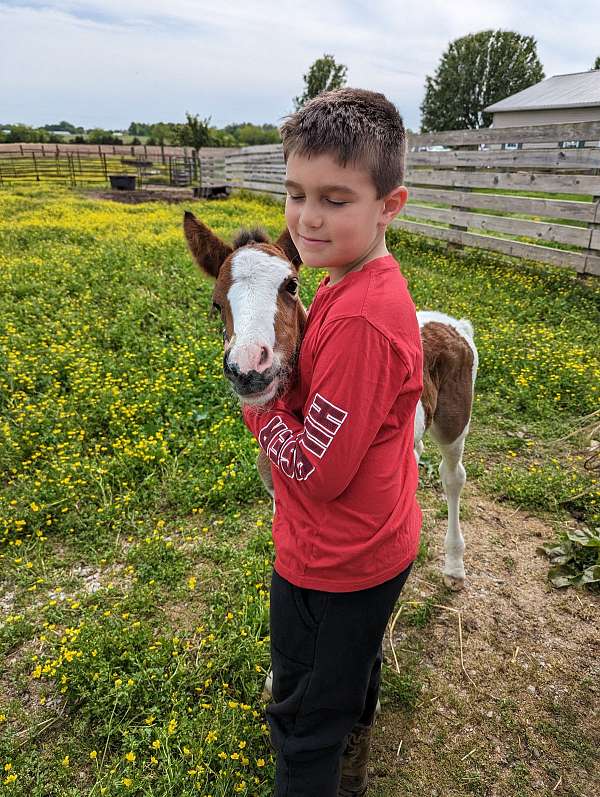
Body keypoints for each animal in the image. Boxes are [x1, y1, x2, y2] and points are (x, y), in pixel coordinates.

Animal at [183, 211, 478, 592]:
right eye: (216, 303)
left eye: (291, 286)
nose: (248, 369)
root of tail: (456, 324)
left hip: (454, 424)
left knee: (452, 476)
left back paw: (454, 565)